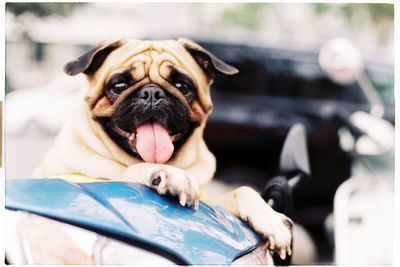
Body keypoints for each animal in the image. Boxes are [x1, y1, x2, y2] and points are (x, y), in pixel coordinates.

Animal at [34, 37, 292, 260]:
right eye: (119, 85)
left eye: (182, 85)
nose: (151, 92)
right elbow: (128, 171)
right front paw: (168, 174)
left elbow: (243, 190)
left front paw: (270, 219)